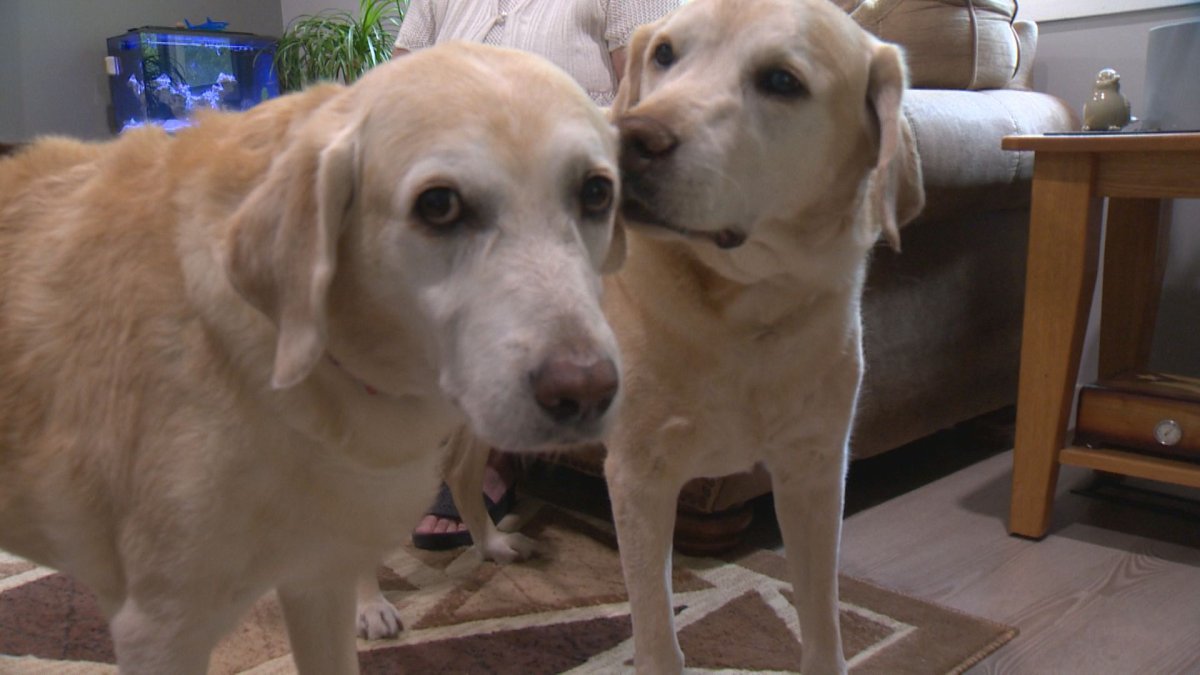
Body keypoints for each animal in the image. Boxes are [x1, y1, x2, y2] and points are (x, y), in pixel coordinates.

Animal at [0, 43, 624, 672]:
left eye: (598, 193)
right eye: (440, 204)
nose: (588, 392)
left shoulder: (318, 579)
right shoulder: (160, 632)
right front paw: (374, 604)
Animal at [446, 2, 921, 667]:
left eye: (782, 81)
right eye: (664, 53)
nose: (630, 141)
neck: (745, 311)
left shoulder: (816, 469)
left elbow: (823, 623)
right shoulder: (639, 479)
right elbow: (657, 637)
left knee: (461, 474)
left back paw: (491, 545)